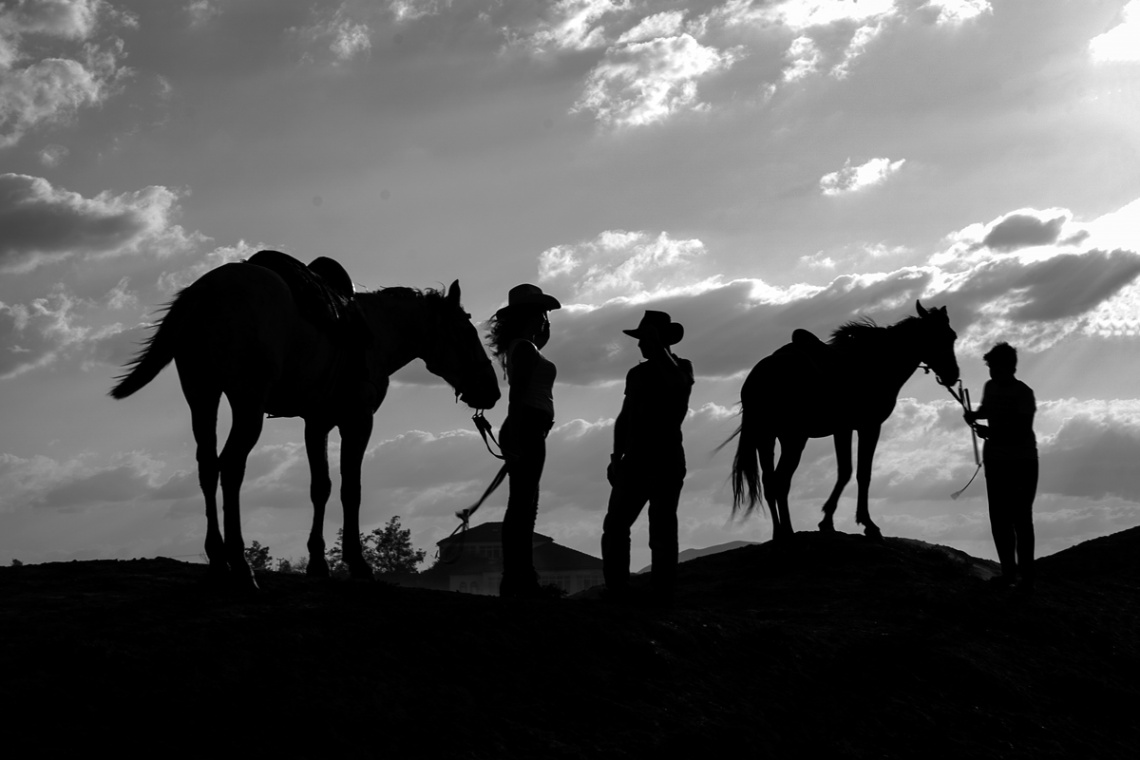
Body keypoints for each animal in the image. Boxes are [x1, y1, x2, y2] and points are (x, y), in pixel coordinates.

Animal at [111, 255, 499, 587]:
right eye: (467, 333)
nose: (492, 391)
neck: (374, 332)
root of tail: (204, 290)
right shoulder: (357, 420)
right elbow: (350, 489)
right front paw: (357, 564)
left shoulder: (317, 423)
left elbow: (320, 487)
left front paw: (317, 563)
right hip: (246, 402)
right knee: (231, 466)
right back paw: (240, 565)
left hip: (202, 394)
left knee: (207, 466)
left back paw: (218, 561)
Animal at [725, 300, 957, 544]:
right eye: (938, 337)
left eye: (952, 336)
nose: (953, 374)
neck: (875, 364)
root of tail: (757, 378)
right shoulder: (868, 426)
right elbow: (862, 473)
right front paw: (867, 524)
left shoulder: (843, 429)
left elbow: (845, 470)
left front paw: (829, 520)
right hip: (793, 438)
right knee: (780, 481)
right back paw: (787, 532)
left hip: (768, 438)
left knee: (771, 482)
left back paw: (780, 533)